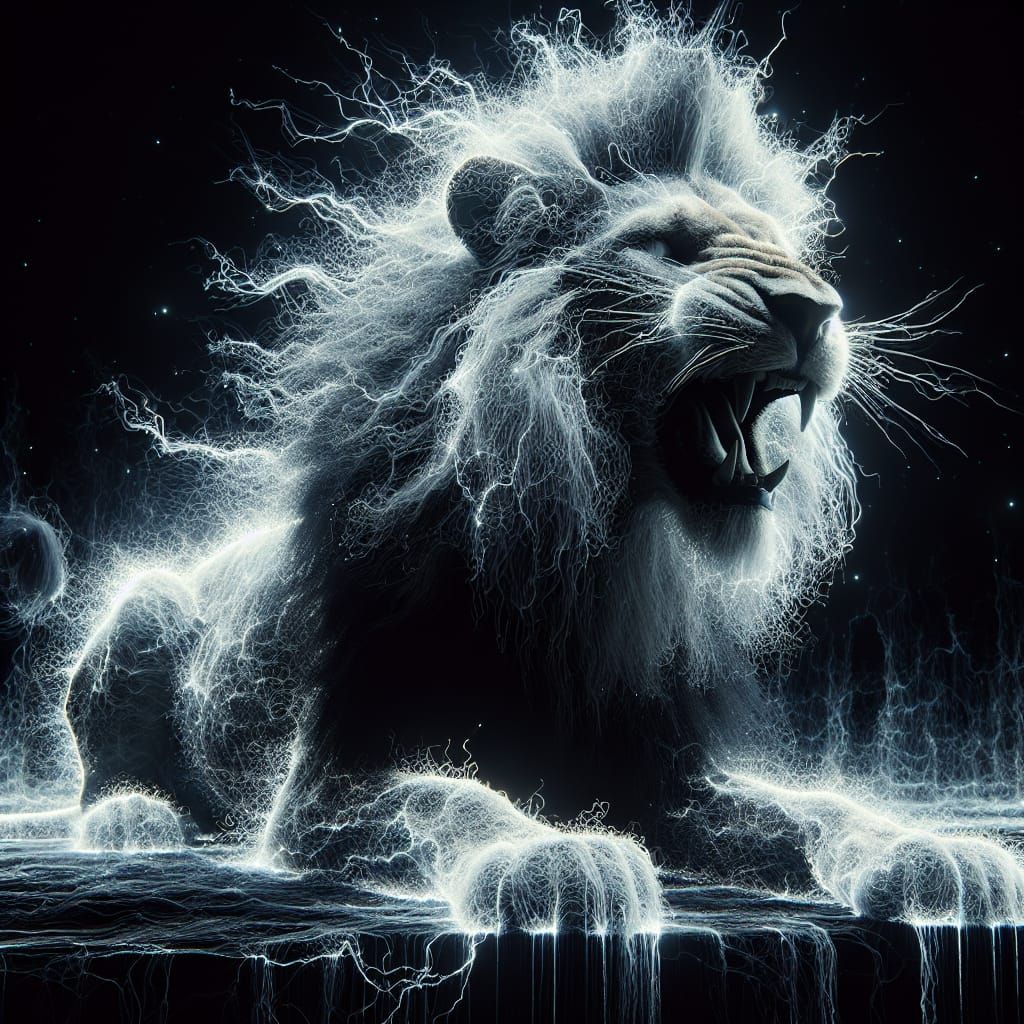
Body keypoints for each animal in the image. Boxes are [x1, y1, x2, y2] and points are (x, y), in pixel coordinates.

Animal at [54, 10, 1019, 930]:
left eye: (791, 253)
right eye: (665, 247)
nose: (816, 310)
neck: (588, 548)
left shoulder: (666, 777)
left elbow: (819, 811)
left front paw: (941, 857)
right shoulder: (334, 783)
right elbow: (454, 802)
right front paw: (557, 860)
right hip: (140, 610)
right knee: (103, 770)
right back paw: (135, 820)